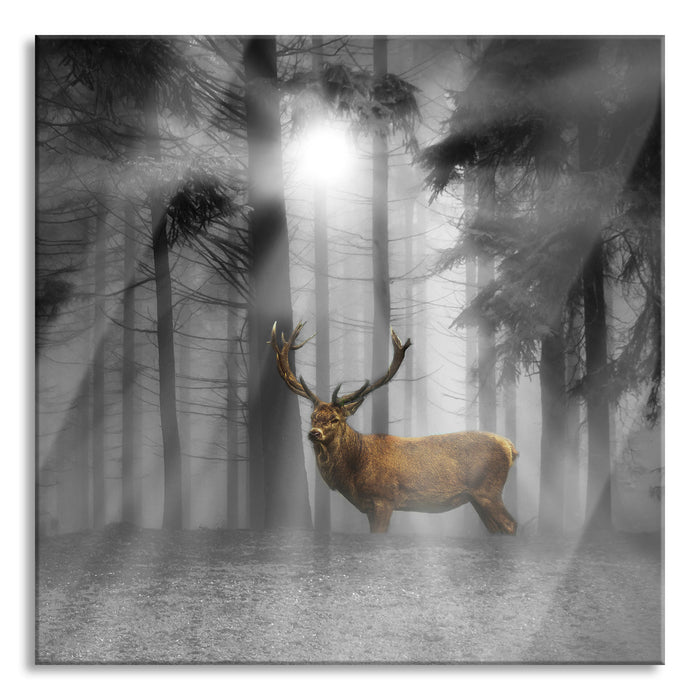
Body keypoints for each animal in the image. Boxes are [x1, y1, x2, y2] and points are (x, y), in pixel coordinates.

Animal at [269, 321, 518, 535]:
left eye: (335, 419)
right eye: (313, 417)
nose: (314, 433)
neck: (355, 469)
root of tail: (510, 447)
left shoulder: (384, 499)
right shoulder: (369, 507)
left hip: (489, 490)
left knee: (510, 525)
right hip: (477, 498)